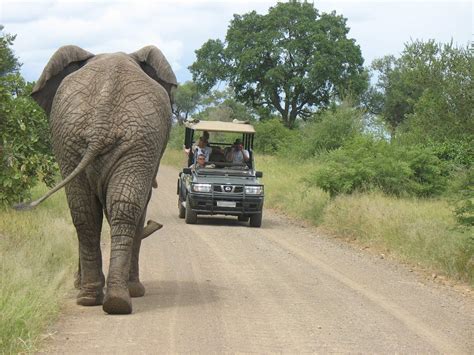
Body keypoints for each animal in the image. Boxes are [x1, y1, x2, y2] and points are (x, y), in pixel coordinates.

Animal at [17, 44, 178, 314]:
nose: (156, 223)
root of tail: (103, 115)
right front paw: (134, 291)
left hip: (109, 140)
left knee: (88, 211)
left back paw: (100, 299)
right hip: (109, 139)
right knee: (110, 210)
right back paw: (110, 299)